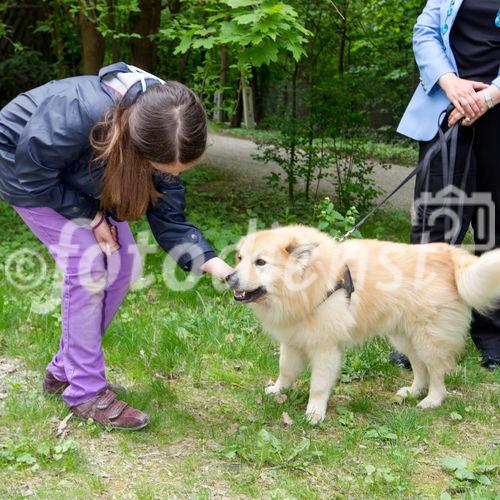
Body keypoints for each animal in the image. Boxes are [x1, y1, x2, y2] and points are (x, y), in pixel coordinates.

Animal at [226, 225, 500, 424]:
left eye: (260, 262)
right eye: (240, 258)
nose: (229, 277)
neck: (309, 282)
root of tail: (450, 255)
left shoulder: (325, 348)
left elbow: (318, 385)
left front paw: (314, 412)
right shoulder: (293, 340)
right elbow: (285, 370)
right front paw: (277, 390)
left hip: (428, 339)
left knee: (438, 372)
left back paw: (432, 400)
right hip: (405, 338)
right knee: (420, 368)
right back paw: (413, 392)